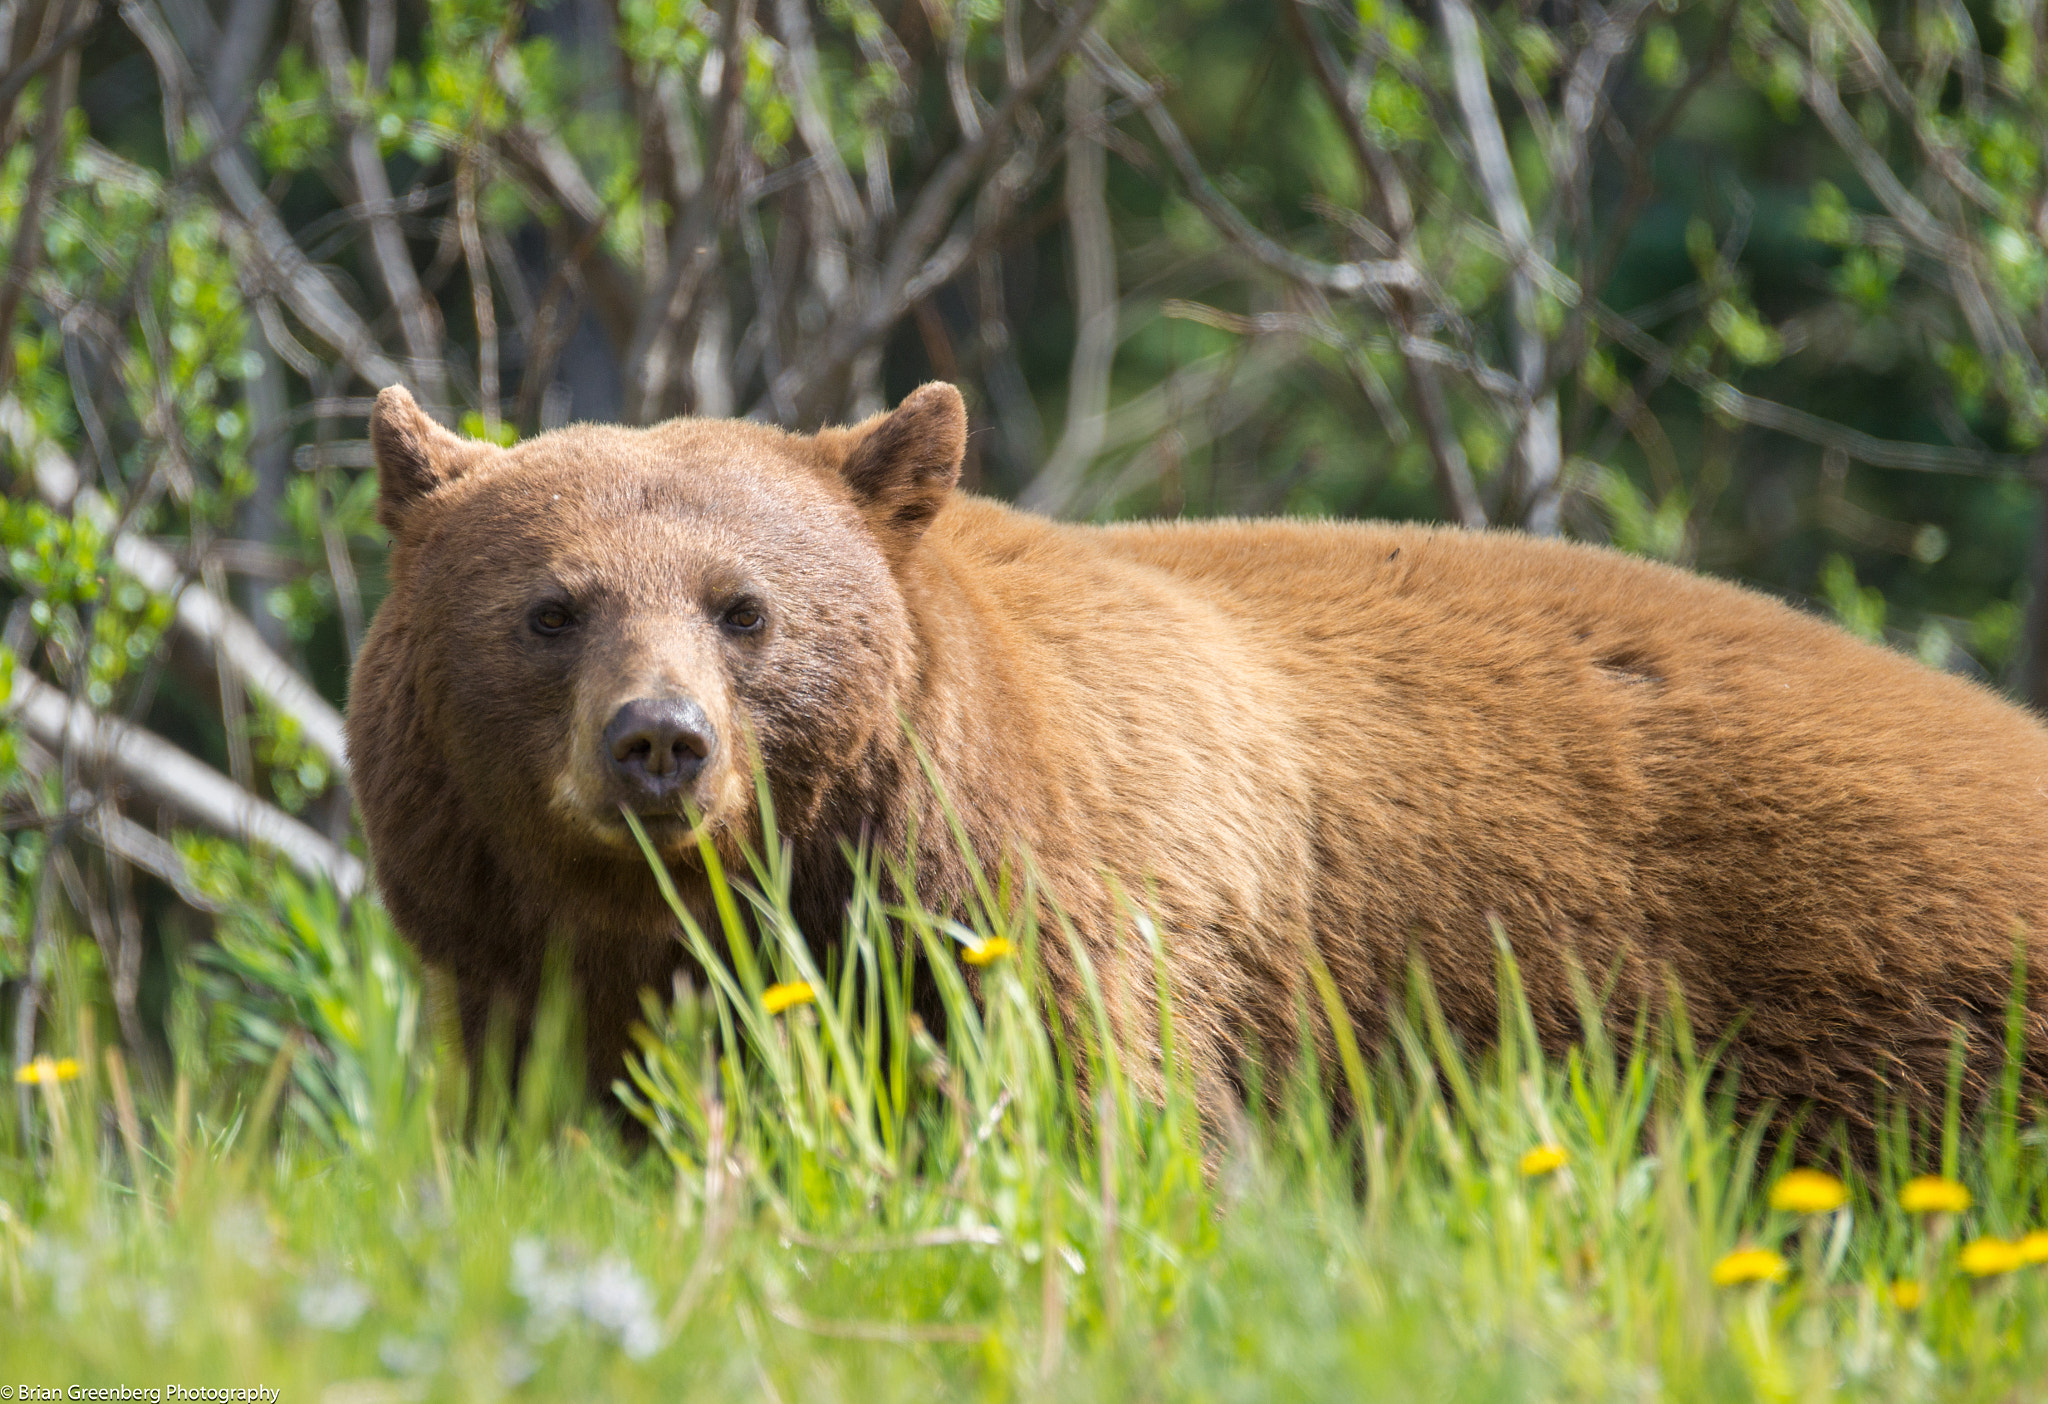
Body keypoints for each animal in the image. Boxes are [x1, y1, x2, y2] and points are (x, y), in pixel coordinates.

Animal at [344, 378, 2048, 1137]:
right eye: (553, 608)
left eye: (744, 609)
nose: (661, 745)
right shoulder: (518, 986)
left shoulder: (1057, 914)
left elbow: (1103, 1126)